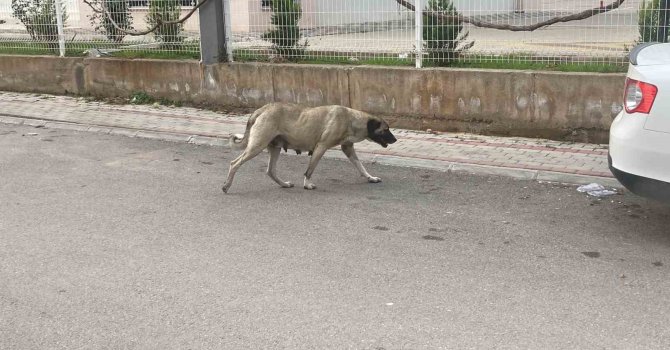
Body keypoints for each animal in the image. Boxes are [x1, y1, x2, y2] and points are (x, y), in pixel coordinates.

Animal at [223, 102, 396, 193]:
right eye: (386, 129)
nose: (395, 139)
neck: (352, 119)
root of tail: (262, 109)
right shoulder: (321, 147)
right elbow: (309, 170)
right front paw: (307, 184)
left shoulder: (348, 149)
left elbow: (361, 167)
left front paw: (370, 178)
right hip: (256, 146)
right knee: (234, 163)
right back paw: (226, 185)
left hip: (275, 147)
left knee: (270, 171)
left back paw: (284, 184)